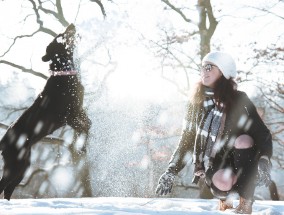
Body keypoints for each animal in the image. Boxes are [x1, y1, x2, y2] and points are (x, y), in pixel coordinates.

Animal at [0, 23, 90, 200]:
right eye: (60, 36)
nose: (71, 25)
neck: (64, 72)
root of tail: (3, 141)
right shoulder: (69, 115)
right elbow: (83, 127)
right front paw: (82, 145)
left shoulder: (78, 109)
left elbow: (88, 123)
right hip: (15, 164)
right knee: (2, 185)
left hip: (23, 165)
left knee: (8, 188)